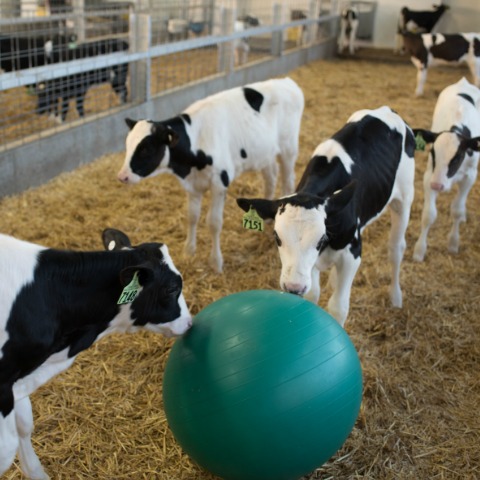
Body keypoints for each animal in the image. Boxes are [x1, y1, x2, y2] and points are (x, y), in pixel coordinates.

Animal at [117, 77, 304, 272]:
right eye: (127, 144)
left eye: (146, 149)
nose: (122, 176)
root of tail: (286, 81)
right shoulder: (192, 185)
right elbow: (192, 217)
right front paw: (189, 251)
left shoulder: (219, 183)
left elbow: (214, 223)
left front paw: (216, 262)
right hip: (264, 153)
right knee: (270, 176)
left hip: (288, 148)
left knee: (287, 180)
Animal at [237, 107, 416, 326]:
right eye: (277, 237)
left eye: (320, 239)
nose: (293, 287)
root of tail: (386, 110)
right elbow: (312, 295)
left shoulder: (352, 254)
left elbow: (338, 306)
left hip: (404, 198)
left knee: (396, 248)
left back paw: (396, 296)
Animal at [412, 77, 480, 262]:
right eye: (432, 152)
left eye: (457, 157)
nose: (438, 186)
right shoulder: (430, 175)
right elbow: (429, 215)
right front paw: (419, 250)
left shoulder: (470, 176)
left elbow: (456, 210)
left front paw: (453, 243)